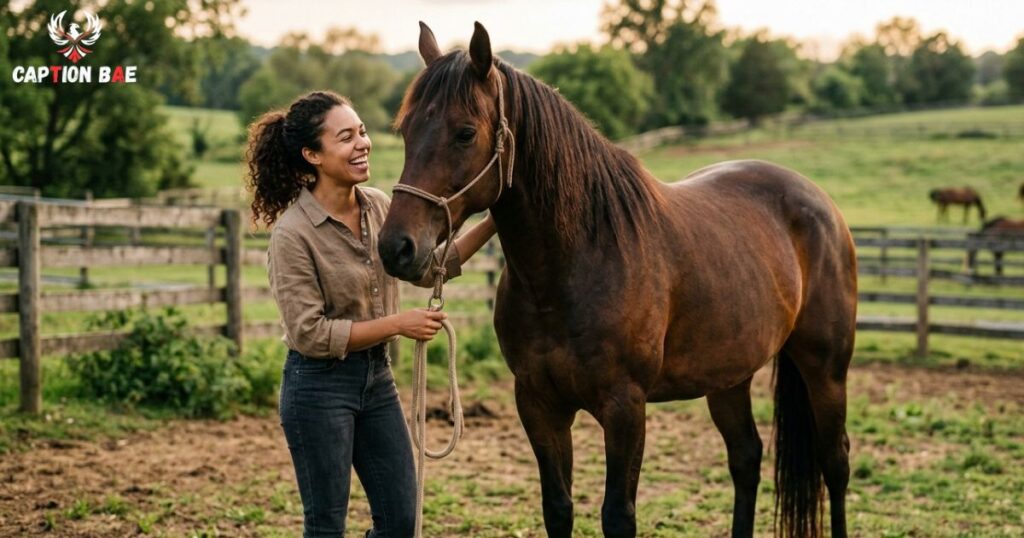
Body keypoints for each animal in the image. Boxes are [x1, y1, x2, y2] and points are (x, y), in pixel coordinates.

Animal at [379, 22, 857, 538]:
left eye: (465, 133)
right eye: (406, 130)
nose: (396, 247)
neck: (573, 268)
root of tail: (820, 203)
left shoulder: (625, 407)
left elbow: (618, 515)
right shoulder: (538, 404)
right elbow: (558, 508)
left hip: (825, 369)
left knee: (835, 463)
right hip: (730, 375)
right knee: (746, 458)